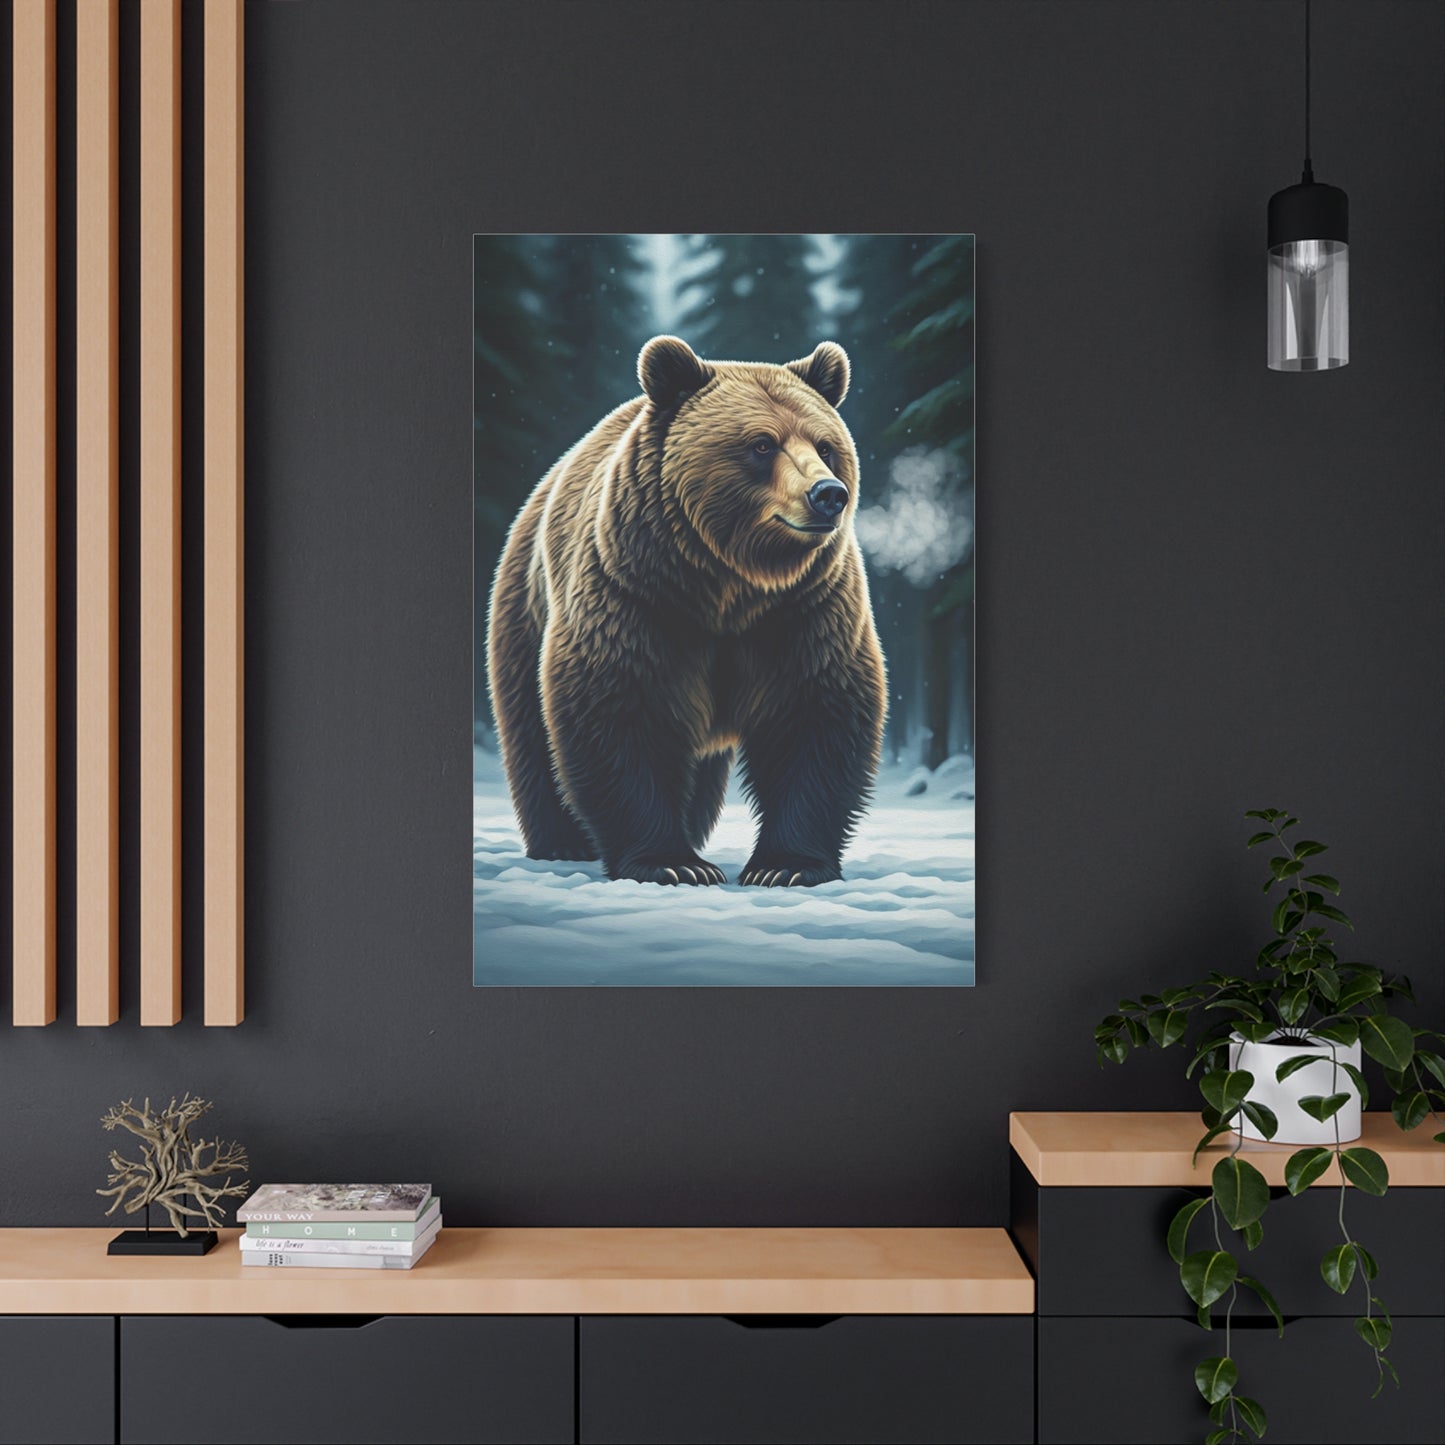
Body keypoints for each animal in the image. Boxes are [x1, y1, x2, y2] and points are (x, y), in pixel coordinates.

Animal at [486, 334, 887, 887]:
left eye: (825, 445)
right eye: (762, 444)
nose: (828, 493)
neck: (728, 584)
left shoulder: (805, 609)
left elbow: (816, 714)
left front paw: (786, 866)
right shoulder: (636, 598)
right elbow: (619, 710)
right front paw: (672, 862)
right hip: (527, 605)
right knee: (531, 730)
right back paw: (562, 843)